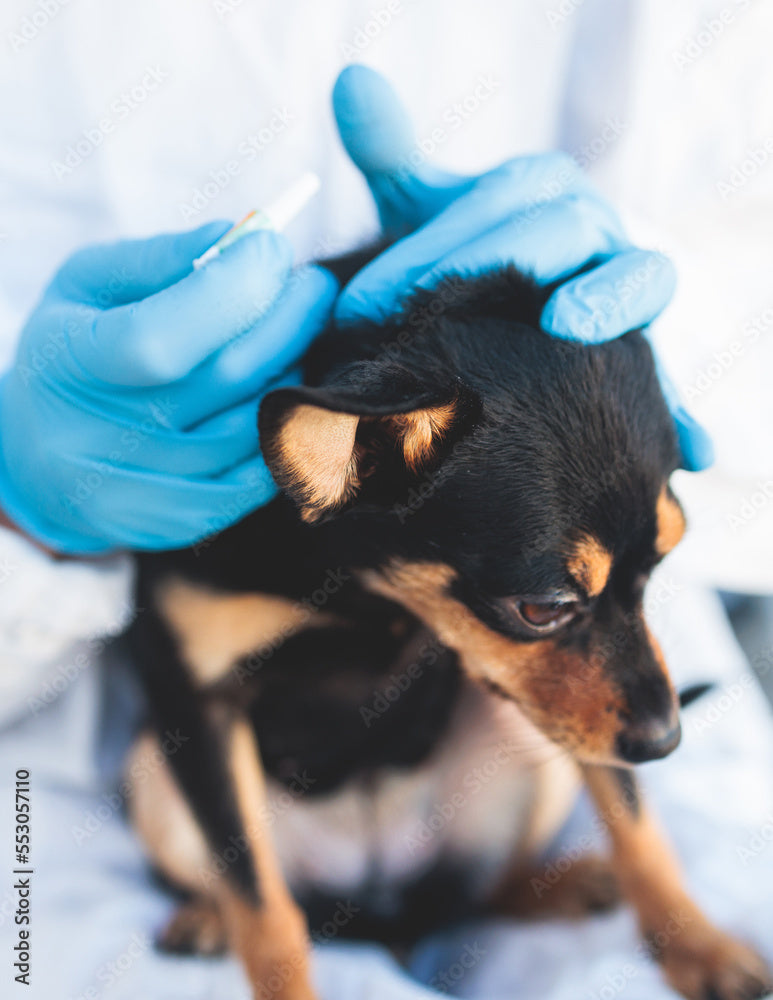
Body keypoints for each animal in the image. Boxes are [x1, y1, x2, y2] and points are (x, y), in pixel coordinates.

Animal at [126, 256, 772, 1000]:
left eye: (662, 564)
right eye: (542, 609)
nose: (665, 740)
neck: (364, 590)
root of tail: (383, 913)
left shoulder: (585, 713)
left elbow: (636, 821)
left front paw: (697, 944)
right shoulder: (195, 703)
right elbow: (263, 914)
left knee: (482, 890)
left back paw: (564, 886)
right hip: (152, 769)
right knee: (265, 891)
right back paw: (206, 917)